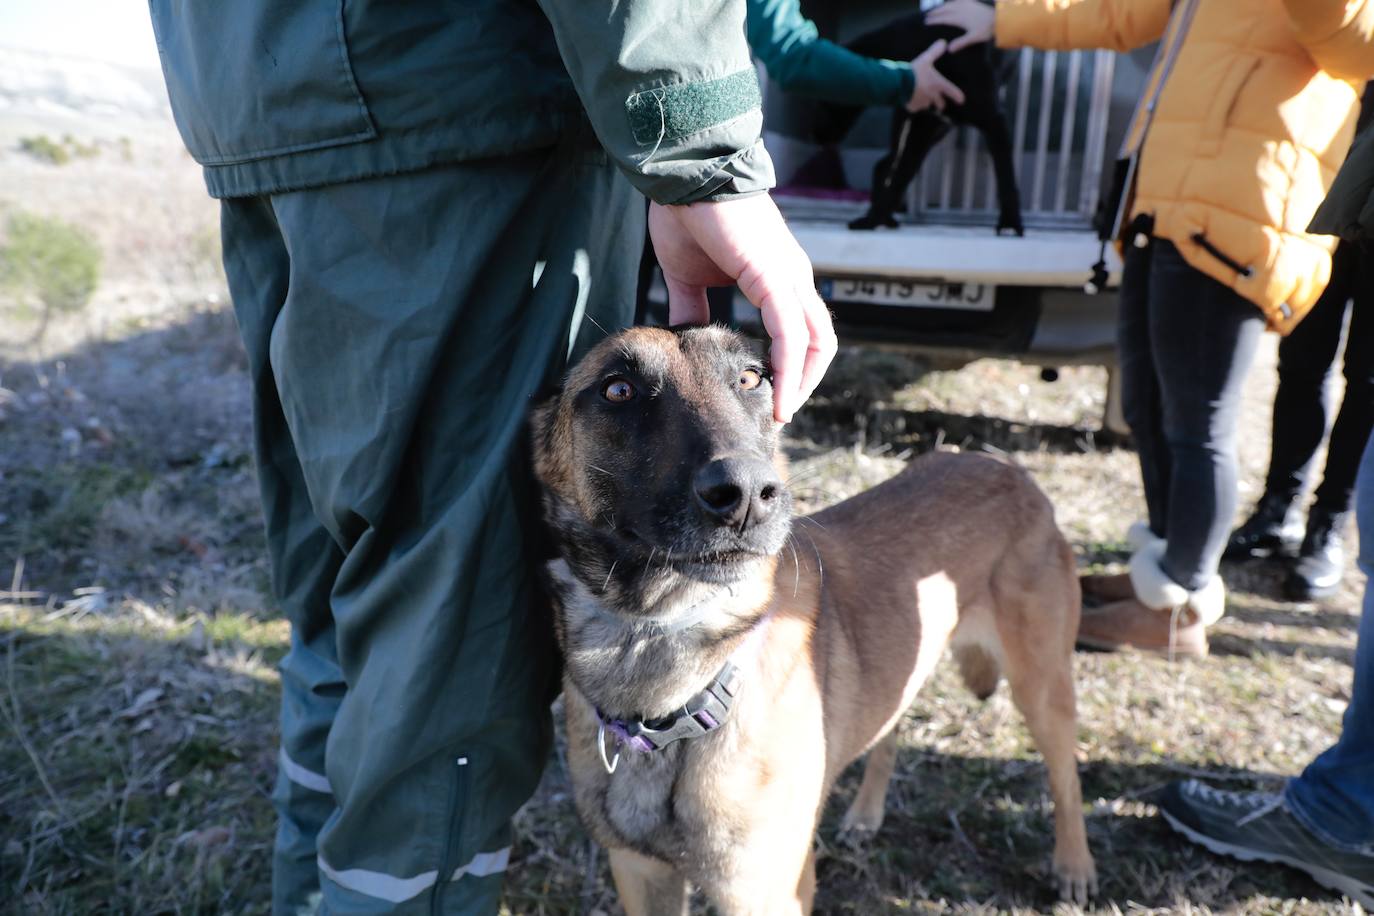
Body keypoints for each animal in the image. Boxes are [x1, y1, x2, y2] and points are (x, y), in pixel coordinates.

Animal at [530, 325, 1099, 911]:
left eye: (751, 378)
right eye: (618, 390)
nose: (747, 495)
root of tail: (1006, 466)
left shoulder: (765, 892)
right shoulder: (640, 874)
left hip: (1042, 684)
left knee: (1066, 775)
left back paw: (1074, 867)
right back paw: (866, 815)